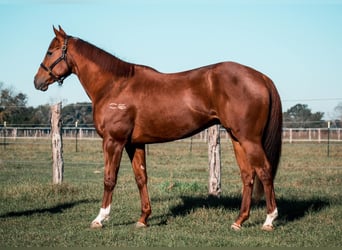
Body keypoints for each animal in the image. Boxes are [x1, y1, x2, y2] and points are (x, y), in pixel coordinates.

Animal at [33, 26, 282, 231]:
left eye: (50, 52)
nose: (37, 81)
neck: (115, 85)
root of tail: (261, 77)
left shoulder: (114, 141)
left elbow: (109, 178)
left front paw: (100, 218)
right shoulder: (134, 144)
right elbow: (141, 178)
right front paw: (143, 219)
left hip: (249, 140)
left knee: (264, 171)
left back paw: (269, 220)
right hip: (237, 138)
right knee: (248, 175)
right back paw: (239, 221)